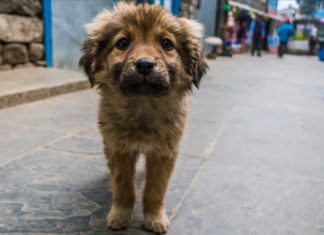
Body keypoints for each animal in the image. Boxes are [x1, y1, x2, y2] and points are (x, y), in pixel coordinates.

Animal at [80, 2, 208, 234]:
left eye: (166, 43)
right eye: (123, 42)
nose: (145, 65)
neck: (143, 105)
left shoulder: (164, 152)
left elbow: (155, 190)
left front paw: (155, 217)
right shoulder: (119, 148)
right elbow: (124, 187)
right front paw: (120, 215)